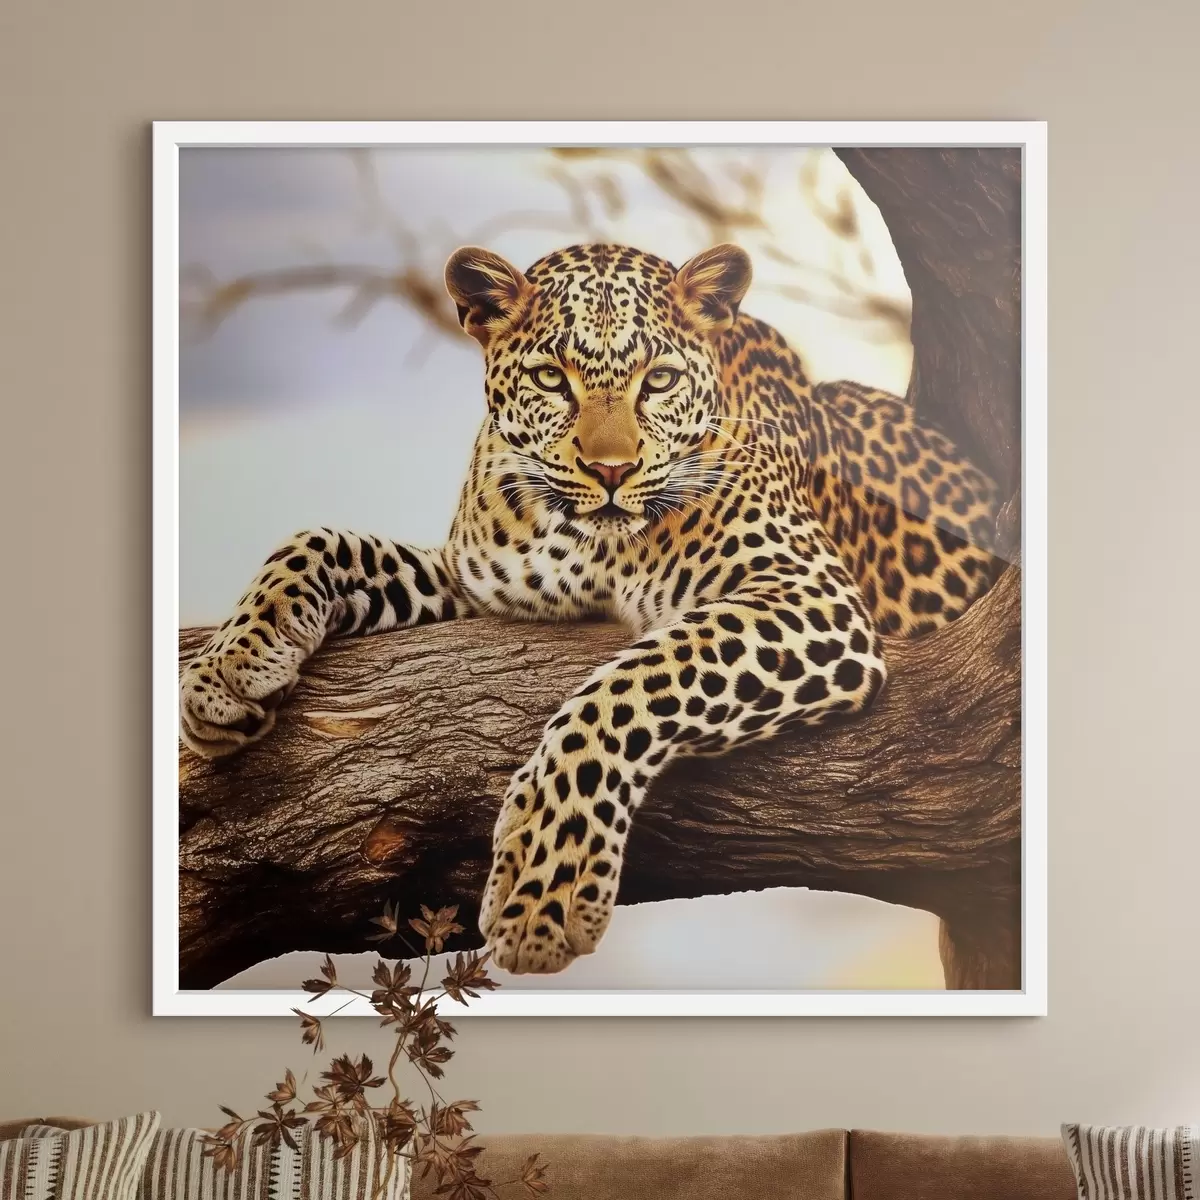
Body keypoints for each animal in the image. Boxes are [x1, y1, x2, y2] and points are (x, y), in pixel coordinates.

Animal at [179, 241, 999, 975]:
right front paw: (228, 671)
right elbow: (322, 540)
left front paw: (545, 884)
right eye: (552, 377)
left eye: (659, 380)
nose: (611, 471)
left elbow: (634, 683)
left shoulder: (808, 593)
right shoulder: (469, 587)